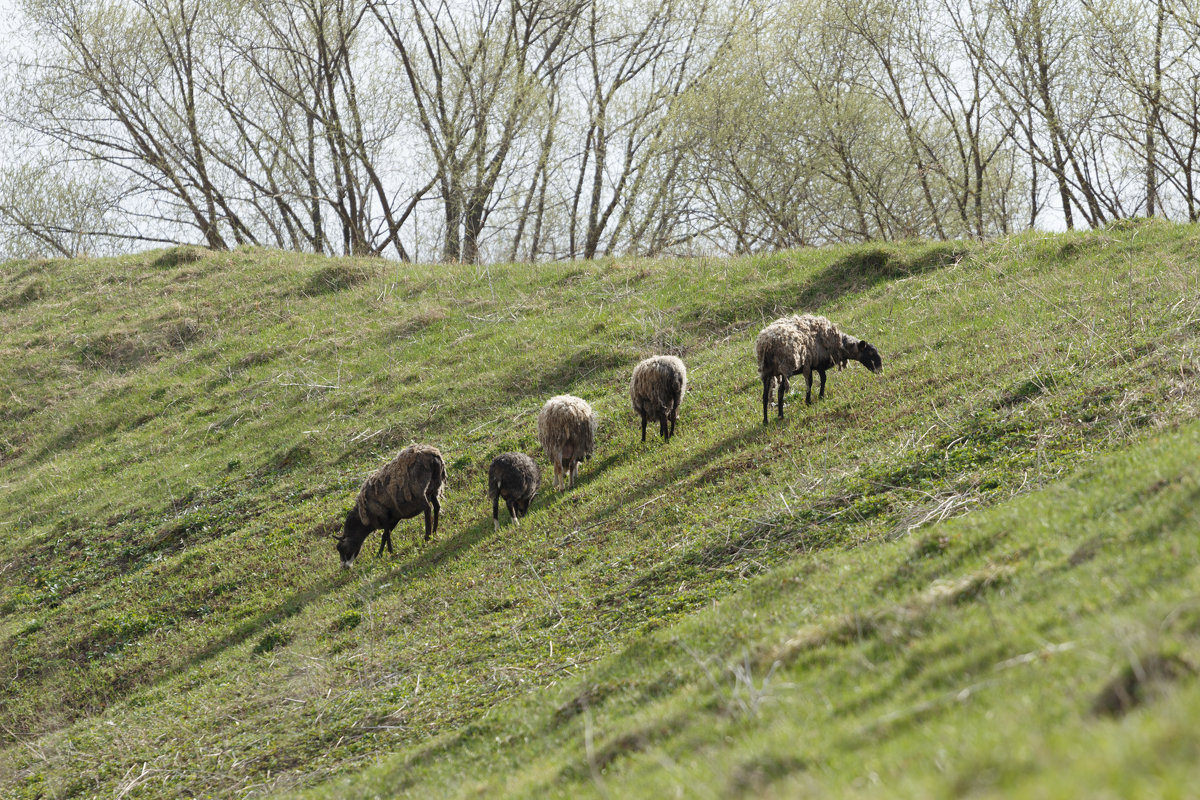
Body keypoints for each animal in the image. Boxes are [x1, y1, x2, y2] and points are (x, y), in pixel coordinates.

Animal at [753, 314, 888, 424]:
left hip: (767, 371)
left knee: (764, 396)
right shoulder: (818, 365)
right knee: (780, 391)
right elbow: (821, 380)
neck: (840, 345)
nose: (880, 370)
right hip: (786, 367)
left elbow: (812, 382)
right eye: (870, 353)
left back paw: (765, 420)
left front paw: (810, 400)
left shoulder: (810, 366)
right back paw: (780, 415)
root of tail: (765, 344)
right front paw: (818, 397)